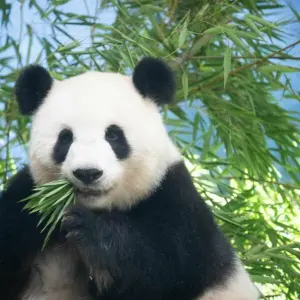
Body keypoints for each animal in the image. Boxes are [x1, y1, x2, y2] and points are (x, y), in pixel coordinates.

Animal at [0, 57, 258, 298]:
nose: (88, 172)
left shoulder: (174, 199)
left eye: (114, 135)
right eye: (65, 138)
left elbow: (165, 266)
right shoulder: (24, 198)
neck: (101, 207)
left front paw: (90, 230)